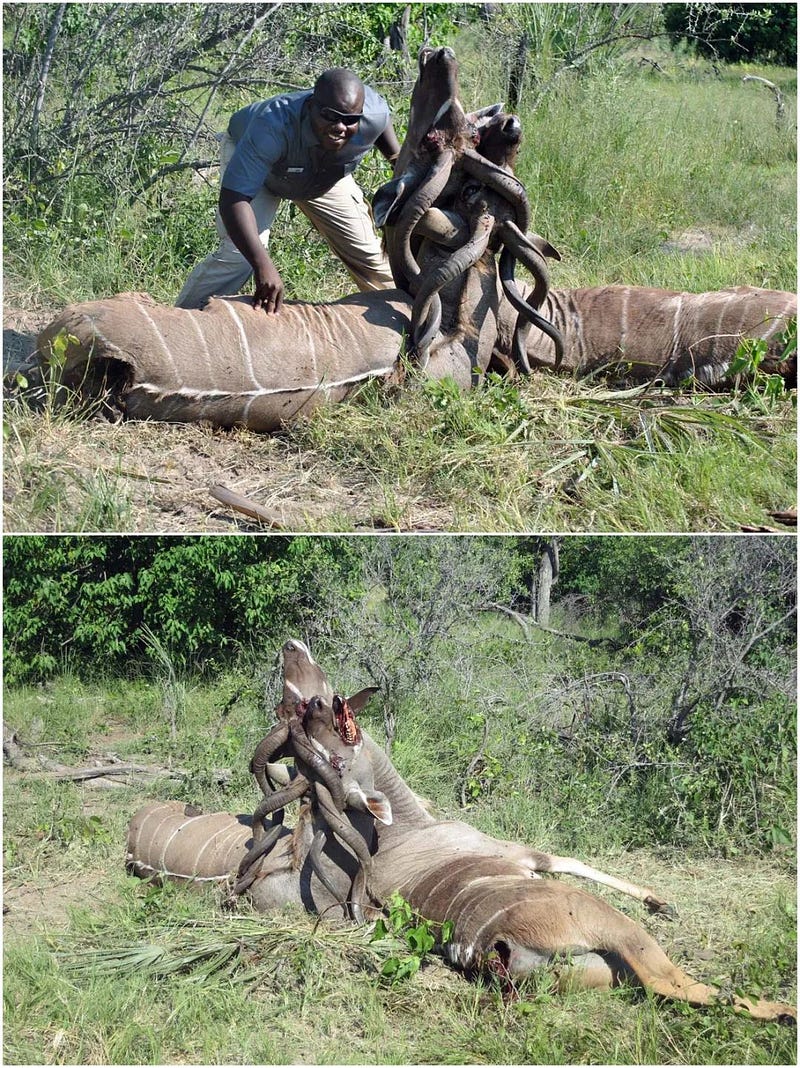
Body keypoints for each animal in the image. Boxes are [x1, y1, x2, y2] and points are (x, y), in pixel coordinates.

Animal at [123, 636, 794, 1021]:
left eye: (314, 718)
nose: (297, 665)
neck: (403, 828)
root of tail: (490, 948)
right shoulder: (523, 854)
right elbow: (567, 858)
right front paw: (665, 898)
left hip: (597, 975)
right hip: (622, 940)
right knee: (684, 985)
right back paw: (780, 1009)